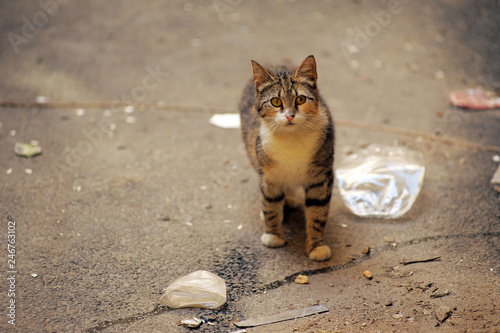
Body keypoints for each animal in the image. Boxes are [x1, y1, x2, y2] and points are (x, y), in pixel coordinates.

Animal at [239, 55, 334, 260]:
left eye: (301, 99)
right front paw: (273, 235)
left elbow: (318, 211)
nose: (290, 116)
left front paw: (317, 246)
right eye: (275, 101)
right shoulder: (268, 174)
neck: (292, 139)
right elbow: (270, 204)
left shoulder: (322, 176)